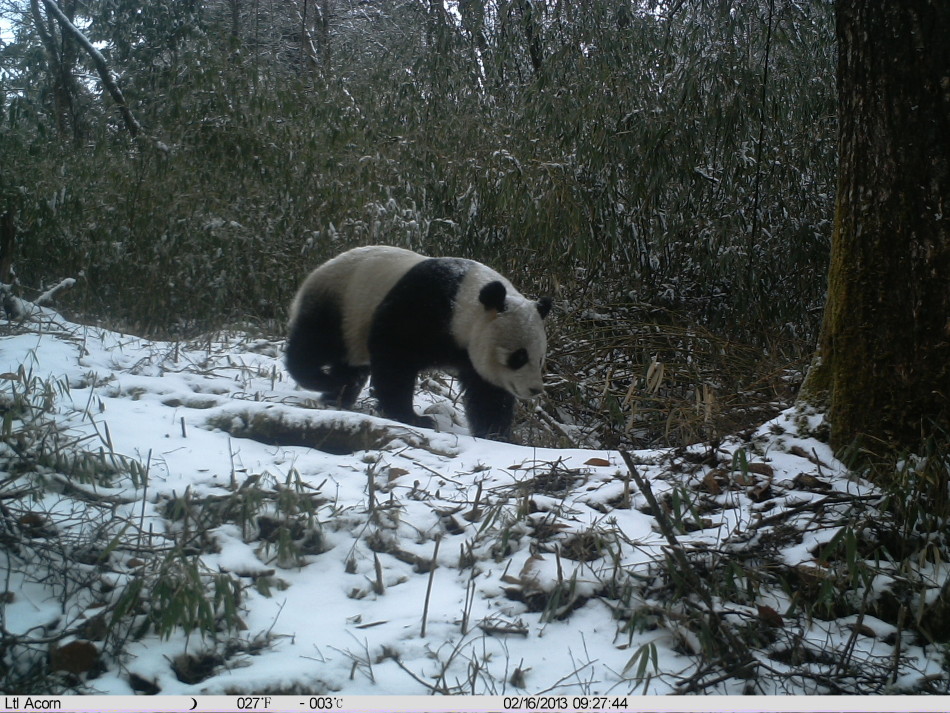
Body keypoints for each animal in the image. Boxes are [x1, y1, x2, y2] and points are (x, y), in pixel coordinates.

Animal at [284, 248, 552, 442]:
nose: (534, 389)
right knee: (315, 344)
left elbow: (488, 394)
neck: (462, 300)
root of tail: (322, 267)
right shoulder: (421, 307)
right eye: (518, 356)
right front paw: (413, 418)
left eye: (540, 359)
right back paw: (322, 380)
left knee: (351, 365)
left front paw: (497, 435)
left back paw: (337, 394)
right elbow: (395, 361)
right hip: (342, 302)